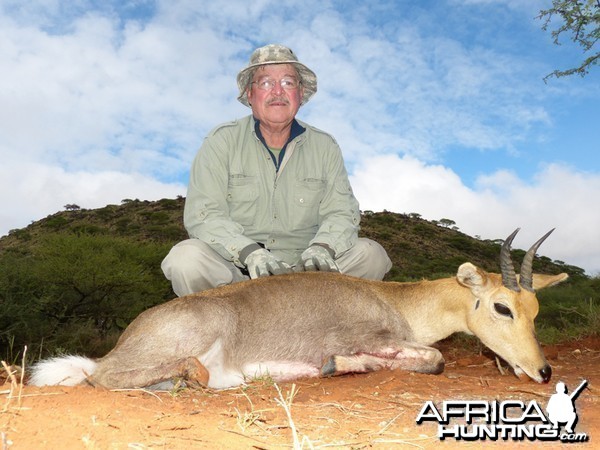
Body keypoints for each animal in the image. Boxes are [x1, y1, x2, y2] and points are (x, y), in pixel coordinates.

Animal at [29, 230, 568, 388]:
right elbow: (435, 358)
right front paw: (343, 364)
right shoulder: (368, 336)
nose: (542, 371)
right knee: (103, 377)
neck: (396, 300)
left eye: (535, 309)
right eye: (501, 307)